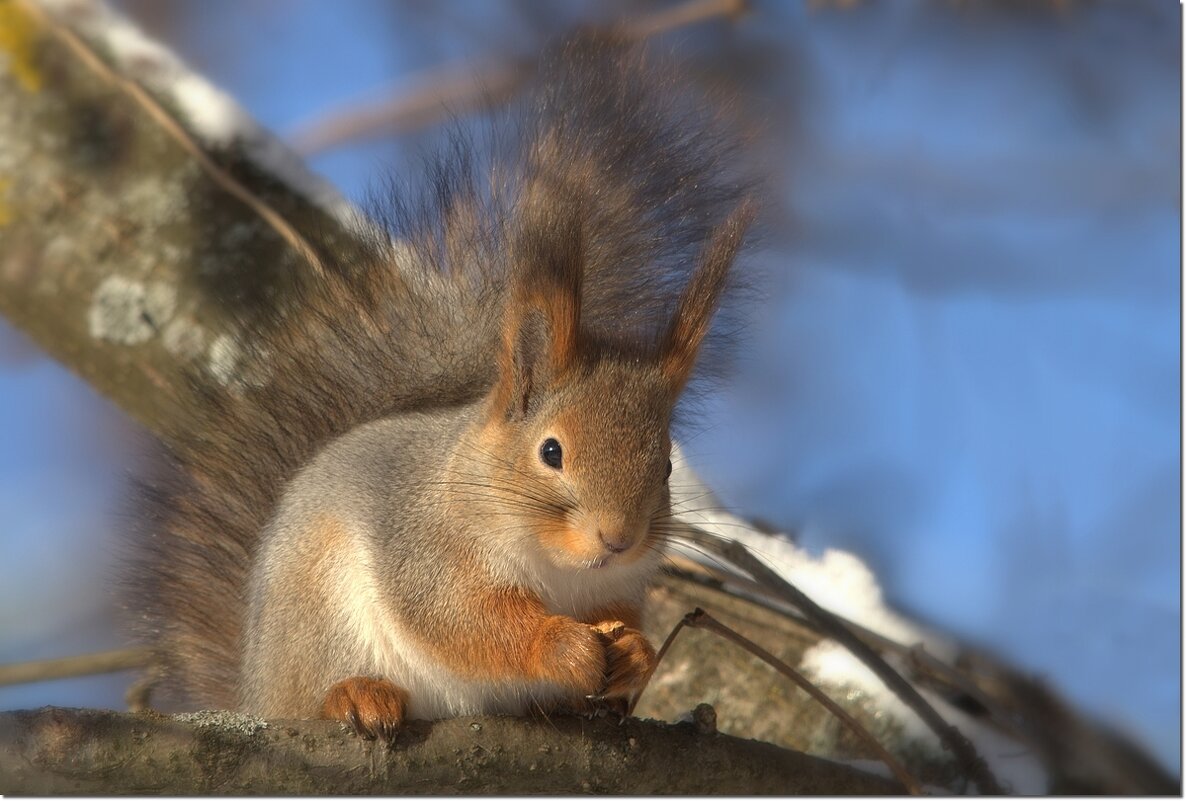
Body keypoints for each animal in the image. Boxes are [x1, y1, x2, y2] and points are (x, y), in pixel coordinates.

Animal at [118, 32, 749, 745]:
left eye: (666, 464)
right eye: (551, 451)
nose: (619, 539)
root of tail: (255, 692)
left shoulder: (619, 586)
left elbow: (624, 620)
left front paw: (635, 653)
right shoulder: (422, 549)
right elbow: (460, 620)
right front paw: (562, 647)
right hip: (317, 621)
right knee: (318, 694)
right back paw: (354, 696)